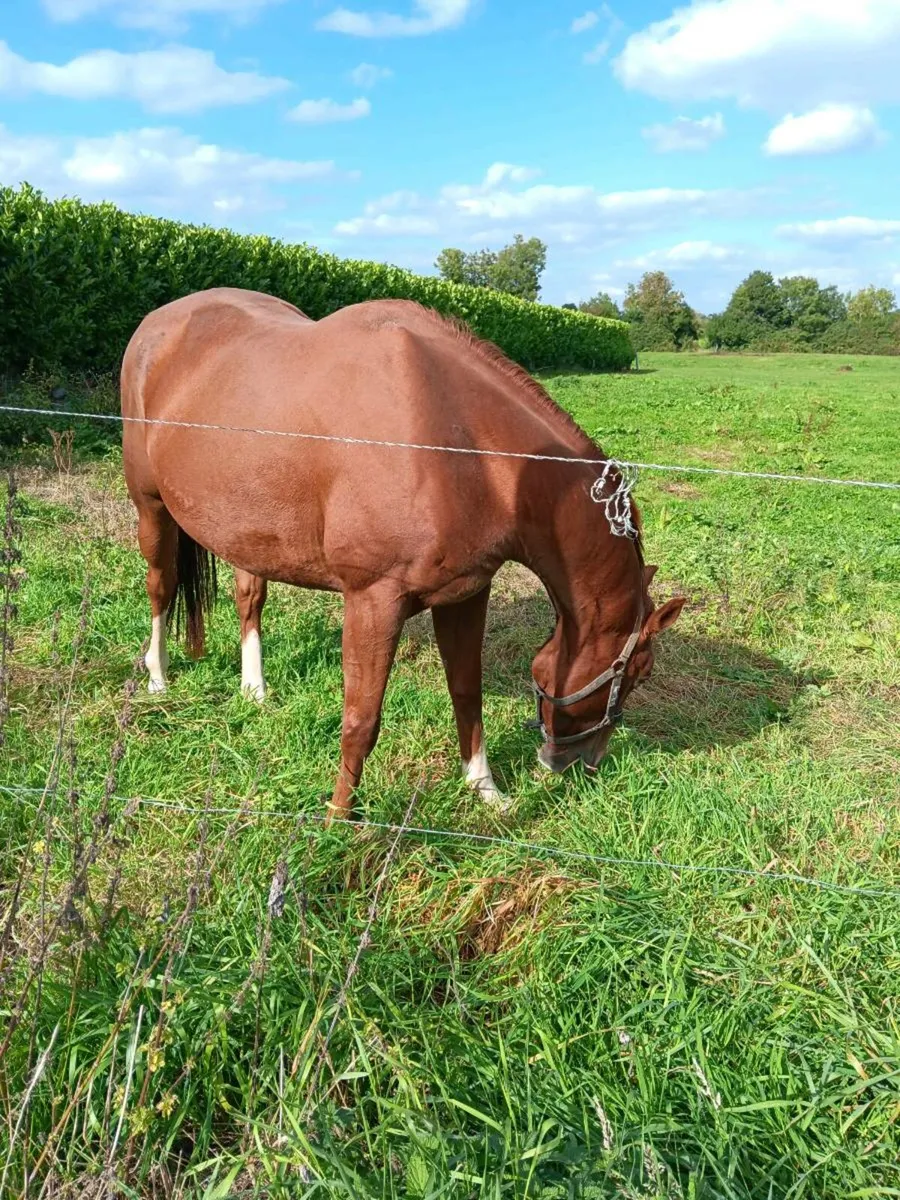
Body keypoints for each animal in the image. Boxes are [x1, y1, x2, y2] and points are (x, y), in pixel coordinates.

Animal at [121, 287, 685, 819]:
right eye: (640, 674)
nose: (579, 764)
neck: (464, 449)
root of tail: (156, 324)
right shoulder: (373, 601)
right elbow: (361, 721)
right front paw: (338, 820)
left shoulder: (465, 595)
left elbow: (466, 692)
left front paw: (486, 791)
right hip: (151, 508)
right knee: (161, 586)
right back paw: (158, 677)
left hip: (249, 528)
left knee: (249, 596)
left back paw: (254, 689)